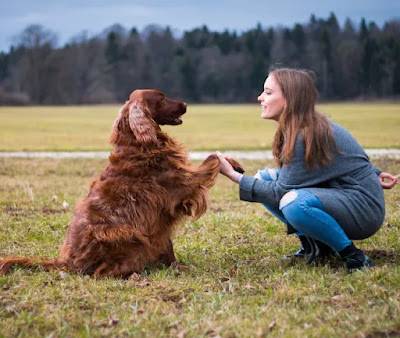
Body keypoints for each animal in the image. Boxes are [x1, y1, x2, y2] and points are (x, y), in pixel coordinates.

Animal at [0, 89, 244, 278]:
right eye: (161, 98)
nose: (185, 104)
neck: (139, 143)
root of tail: (67, 262)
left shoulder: (160, 217)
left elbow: (168, 249)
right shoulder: (185, 183)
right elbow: (212, 158)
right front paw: (229, 163)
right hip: (130, 236)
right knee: (101, 274)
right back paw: (134, 275)